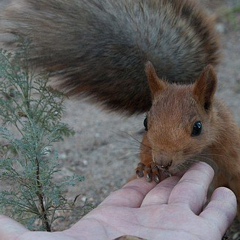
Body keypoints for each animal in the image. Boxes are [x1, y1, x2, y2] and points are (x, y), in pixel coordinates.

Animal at [0, 0, 239, 214]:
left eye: (198, 127)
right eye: (145, 122)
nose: (162, 162)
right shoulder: (147, 140)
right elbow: (145, 147)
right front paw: (149, 165)